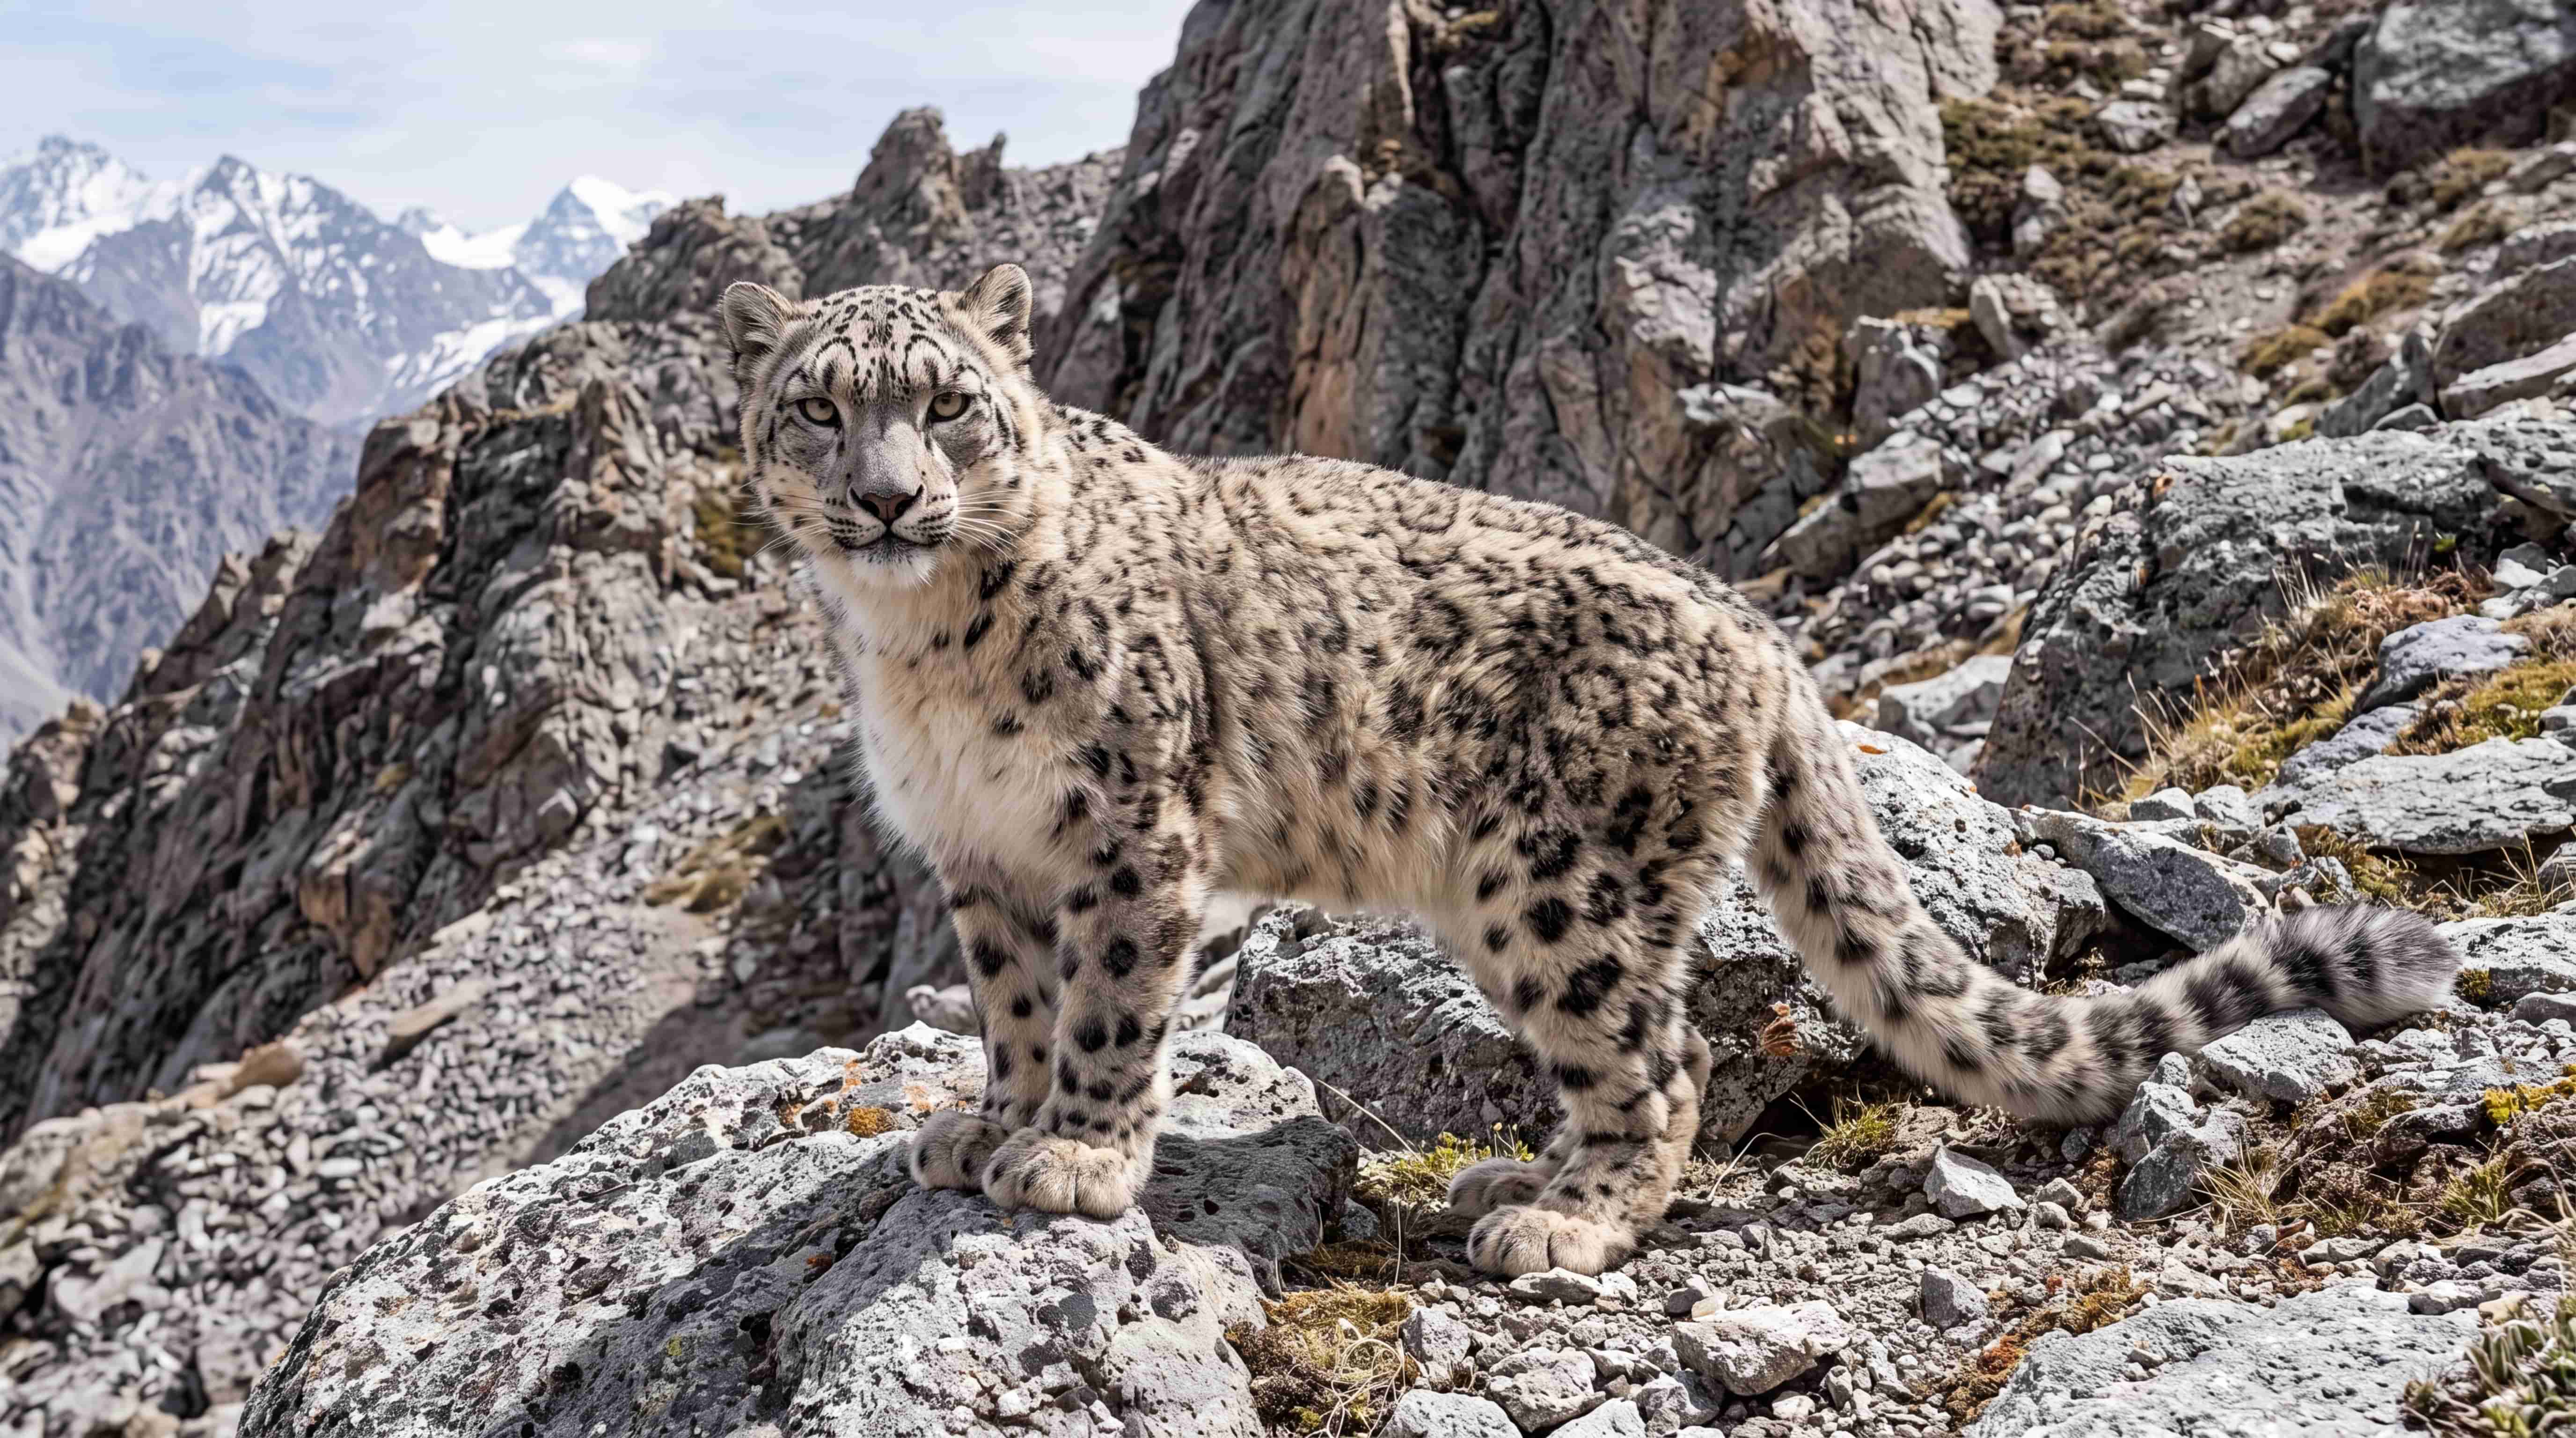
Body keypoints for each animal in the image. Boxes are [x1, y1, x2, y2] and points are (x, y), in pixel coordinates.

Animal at [718, 263, 2461, 1277]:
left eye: (945, 401)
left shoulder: (1128, 831)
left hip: (1554, 878)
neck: (921, 653)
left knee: (1662, 1057)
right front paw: (985, 1126)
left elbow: (1107, 1009)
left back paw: (1561, 1219)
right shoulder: (984, 855)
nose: (887, 497)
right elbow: (1017, 1007)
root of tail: (1756, 631)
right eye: (816, 407)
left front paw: (1075, 1157)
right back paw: (1518, 1167)